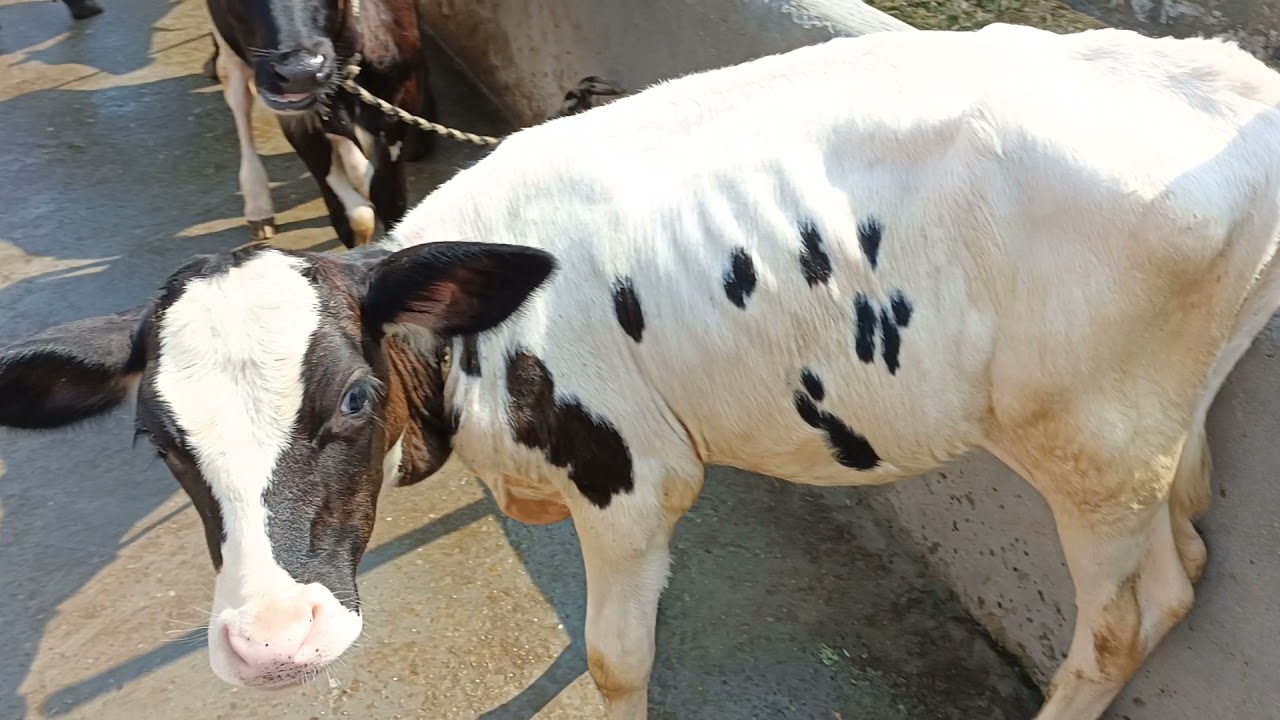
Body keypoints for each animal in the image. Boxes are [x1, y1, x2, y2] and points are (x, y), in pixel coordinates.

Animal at [205, 0, 438, 247]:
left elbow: (391, 199)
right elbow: (354, 218)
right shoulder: (296, 121)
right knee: (237, 95)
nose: (300, 71)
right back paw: (258, 206)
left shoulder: (396, 108)